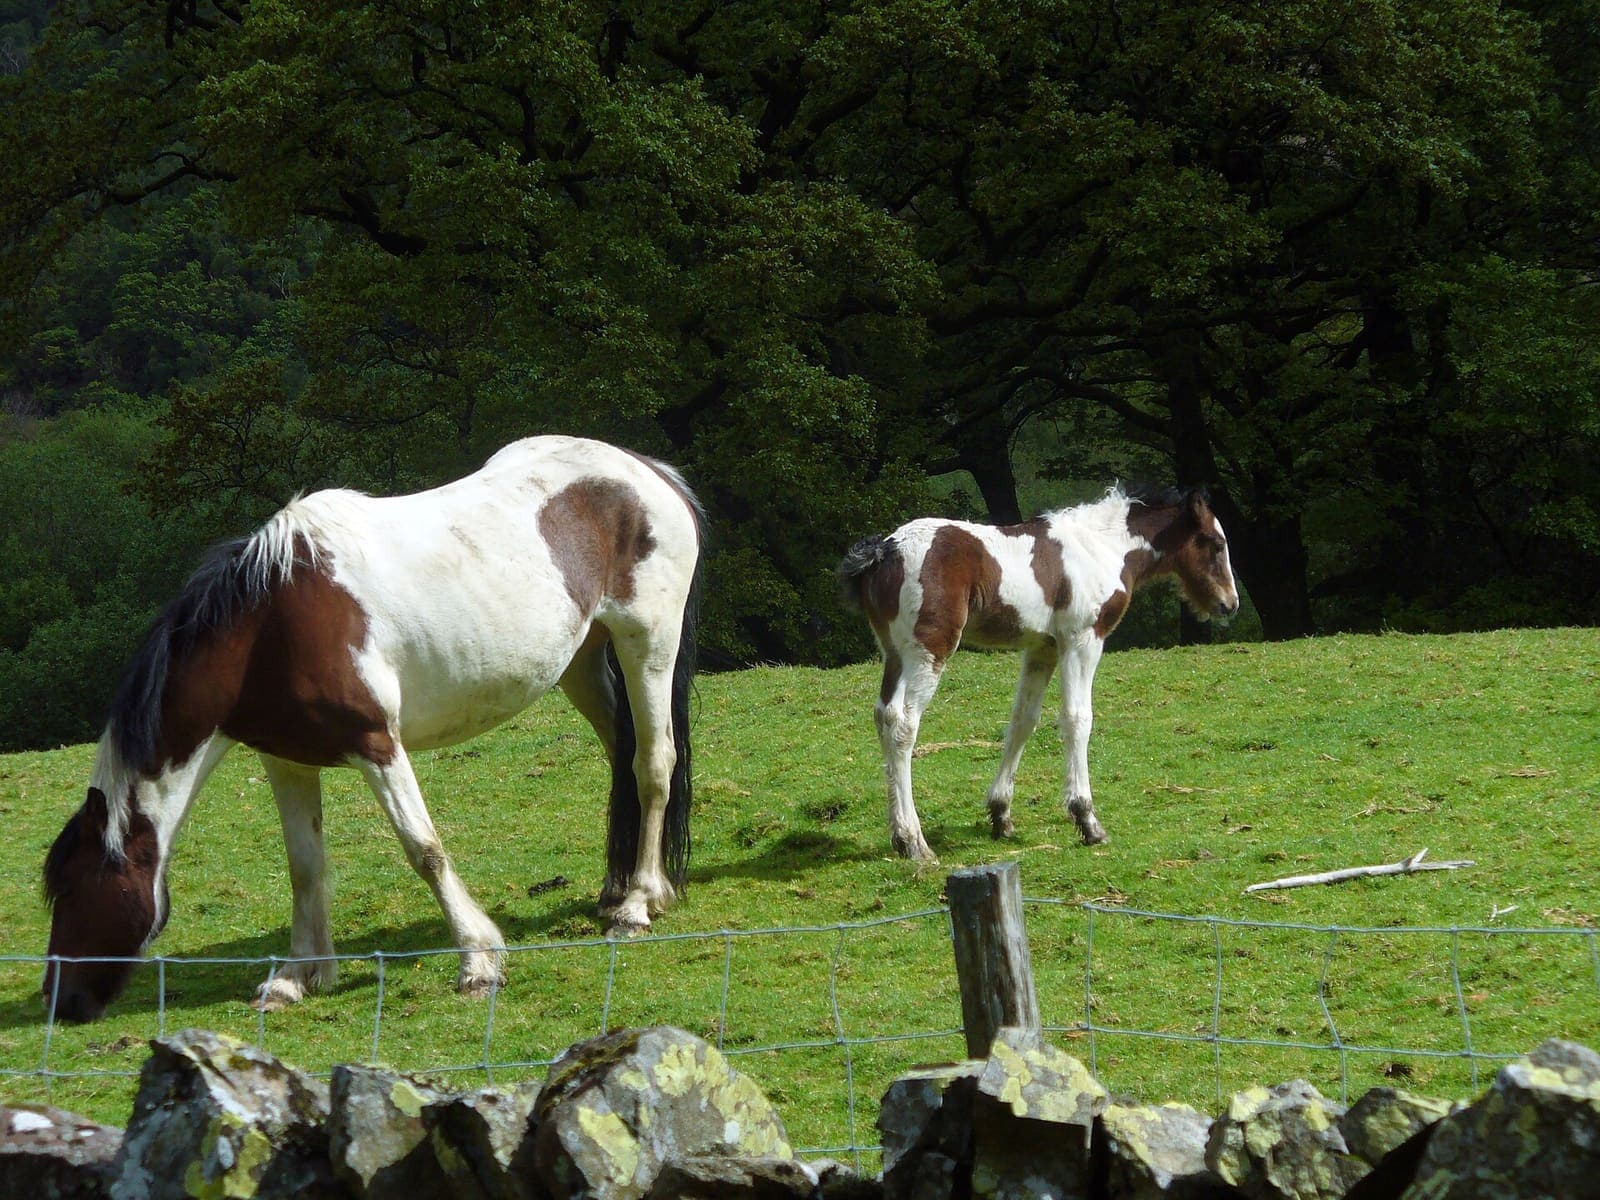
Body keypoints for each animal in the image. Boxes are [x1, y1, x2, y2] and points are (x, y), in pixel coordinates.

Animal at [40, 435, 703, 1024]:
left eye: (70, 890)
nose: (59, 1002)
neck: (266, 629)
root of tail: (649, 472)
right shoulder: (287, 761)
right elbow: (304, 866)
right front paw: (294, 978)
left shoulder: (377, 746)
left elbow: (424, 850)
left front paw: (478, 961)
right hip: (582, 664)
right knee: (622, 758)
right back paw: (620, 890)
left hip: (648, 644)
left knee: (652, 763)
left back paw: (638, 903)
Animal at [837, 484, 1239, 861]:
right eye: (1216, 543)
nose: (1230, 604)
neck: (1103, 547)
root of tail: (885, 551)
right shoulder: (1082, 639)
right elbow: (1077, 719)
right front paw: (1087, 820)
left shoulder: (1041, 648)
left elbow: (1023, 721)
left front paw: (1000, 815)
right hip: (929, 650)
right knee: (904, 725)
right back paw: (914, 842)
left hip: (894, 654)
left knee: (884, 716)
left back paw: (900, 835)